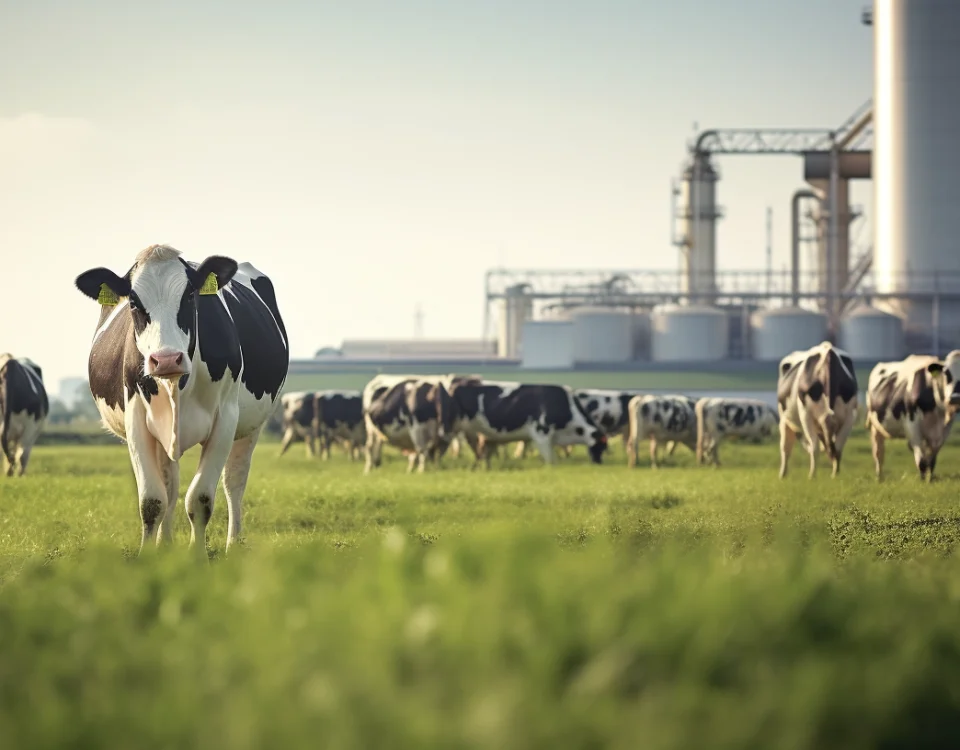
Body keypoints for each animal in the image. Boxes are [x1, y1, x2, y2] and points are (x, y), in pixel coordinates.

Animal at [74, 244, 288, 556]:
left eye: (189, 296)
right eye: (133, 302)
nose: (165, 359)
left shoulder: (226, 419)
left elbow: (200, 498)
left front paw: (198, 558)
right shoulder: (136, 419)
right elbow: (152, 501)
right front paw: (150, 556)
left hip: (252, 426)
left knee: (234, 481)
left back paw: (233, 544)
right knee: (170, 486)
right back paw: (165, 544)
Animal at [436, 382, 604, 470]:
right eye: (600, 446)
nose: (599, 463)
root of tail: (458, 385)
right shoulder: (541, 433)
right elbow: (550, 459)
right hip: (449, 428)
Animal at [776, 342, 860, 478]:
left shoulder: (850, 417)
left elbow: (838, 447)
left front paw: (835, 475)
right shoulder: (805, 415)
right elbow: (815, 447)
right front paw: (812, 476)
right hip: (785, 420)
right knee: (786, 447)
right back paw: (782, 475)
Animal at [864, 352, 960, 482]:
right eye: (946, 373)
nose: (955, 397)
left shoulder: (943, 431)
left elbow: (931, 461)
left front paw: (930, 480)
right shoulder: (912, 426)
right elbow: (922, 461)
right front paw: (922, 481)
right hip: (875, 427)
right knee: (878, 453)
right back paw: (879, 478)